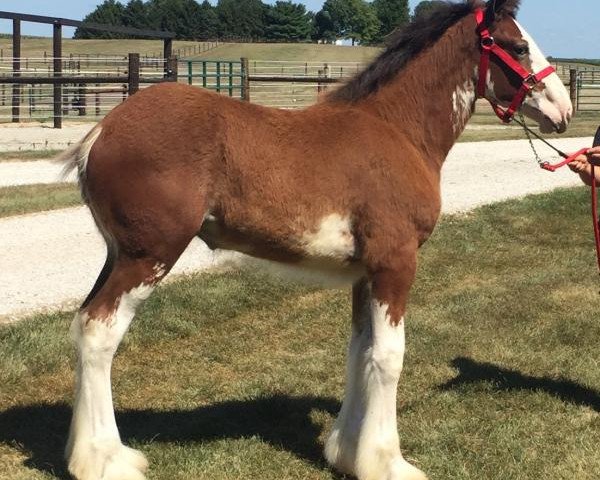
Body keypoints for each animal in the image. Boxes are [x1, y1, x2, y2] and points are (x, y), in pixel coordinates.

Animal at [59, 1, 572, 478]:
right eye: (518, 46)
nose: (563, 109)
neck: (398, 131)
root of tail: (101, 131)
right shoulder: (396, 263)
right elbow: (389, 356)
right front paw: (389, 462)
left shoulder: (365, 274)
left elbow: (360, 351)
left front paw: (348, 454)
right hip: (149, 255)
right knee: (100, 331)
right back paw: (104, 460)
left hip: (119, 254)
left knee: (83, 323)